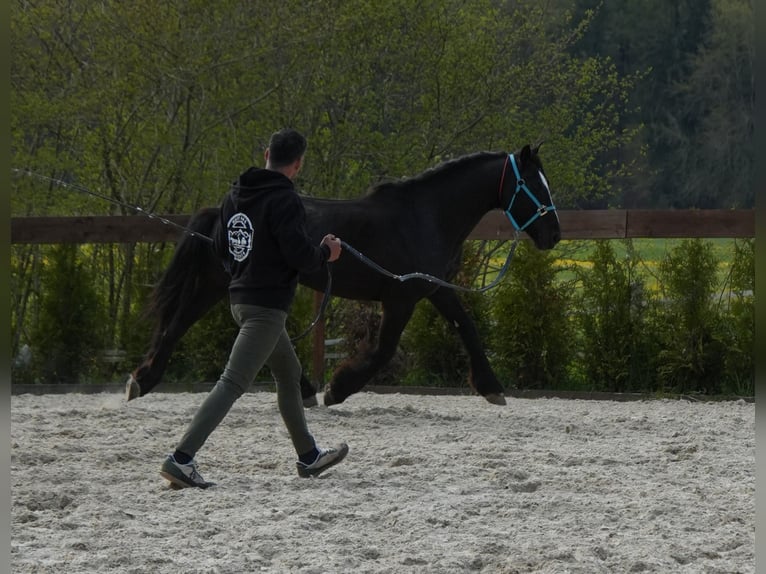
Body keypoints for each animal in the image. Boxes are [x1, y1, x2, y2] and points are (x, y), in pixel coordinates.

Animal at [126, 144, 561, 406]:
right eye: (533, 185)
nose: (553, 235)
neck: (425, 217)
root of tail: (218, 213)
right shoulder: (402, 296)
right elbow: (384, 349)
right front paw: (338, 388)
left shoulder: (433, 288)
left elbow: (466, 327)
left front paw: (491, 388)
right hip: (218, 283)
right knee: (181, 323)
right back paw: (142, 381)